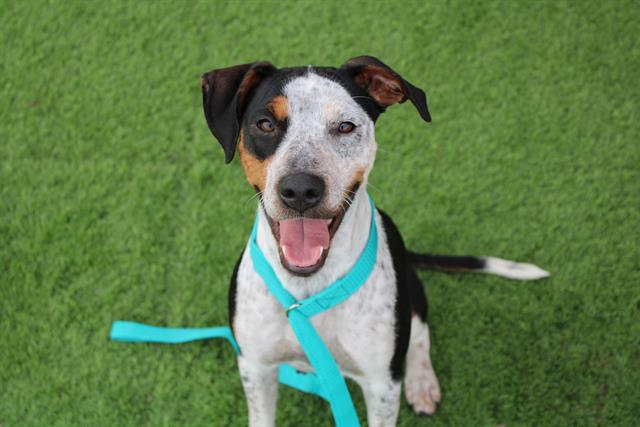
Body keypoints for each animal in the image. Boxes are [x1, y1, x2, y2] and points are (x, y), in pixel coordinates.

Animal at [200, 56, 549, 426]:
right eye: (265, 124)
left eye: (345, 126)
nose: (300, 189)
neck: (308, 290)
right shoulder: (255, 367)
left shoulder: (382, 384)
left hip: (412, 291)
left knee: (421, 334)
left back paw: (422, 383)